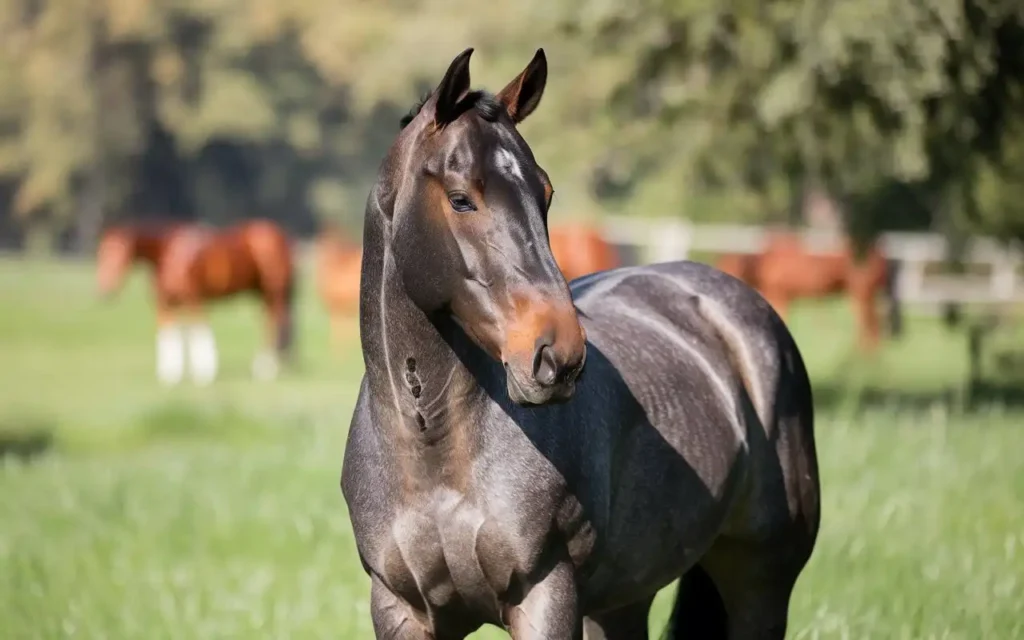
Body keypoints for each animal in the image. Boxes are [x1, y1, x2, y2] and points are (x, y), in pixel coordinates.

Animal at [95, 218, 296, 385]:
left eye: (120, 252)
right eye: (101, 253)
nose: (105, 291)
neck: (170, 255)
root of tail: (278, 235)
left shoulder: (194, 300)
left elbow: (198, 333)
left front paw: (204, 374)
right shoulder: (165, 304)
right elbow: (169, 335)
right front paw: (170, 376)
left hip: (273, 291)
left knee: (273, 323)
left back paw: (265, 369)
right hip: (260, 292)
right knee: (268, 321)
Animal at [339, 48, 819, 638]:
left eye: (544, 193)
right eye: (460, 199)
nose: (558, 356)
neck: (432, 451)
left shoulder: (546, 595)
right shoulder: (402, 609)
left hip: (760, 584)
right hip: (622, 600)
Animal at [712, 229, 905, 352]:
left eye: (732, 270)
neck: (766, 262)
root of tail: (879, 251)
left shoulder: (780, 296)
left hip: (861, 294)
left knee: (871, 325)